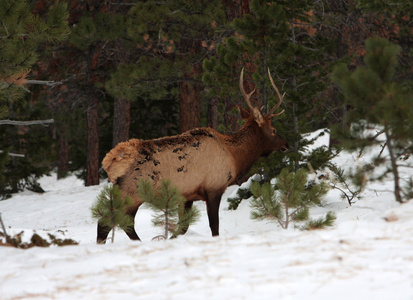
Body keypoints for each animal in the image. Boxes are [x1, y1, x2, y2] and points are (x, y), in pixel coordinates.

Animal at [98, 68, 288, 244]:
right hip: (132, 192)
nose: (286, 145)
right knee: (108, 222)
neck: (235, 156)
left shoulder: (187, 195)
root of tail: (109, 161)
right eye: (274, 130)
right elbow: (214, 226)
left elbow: (183, 227)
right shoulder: (214, 187)